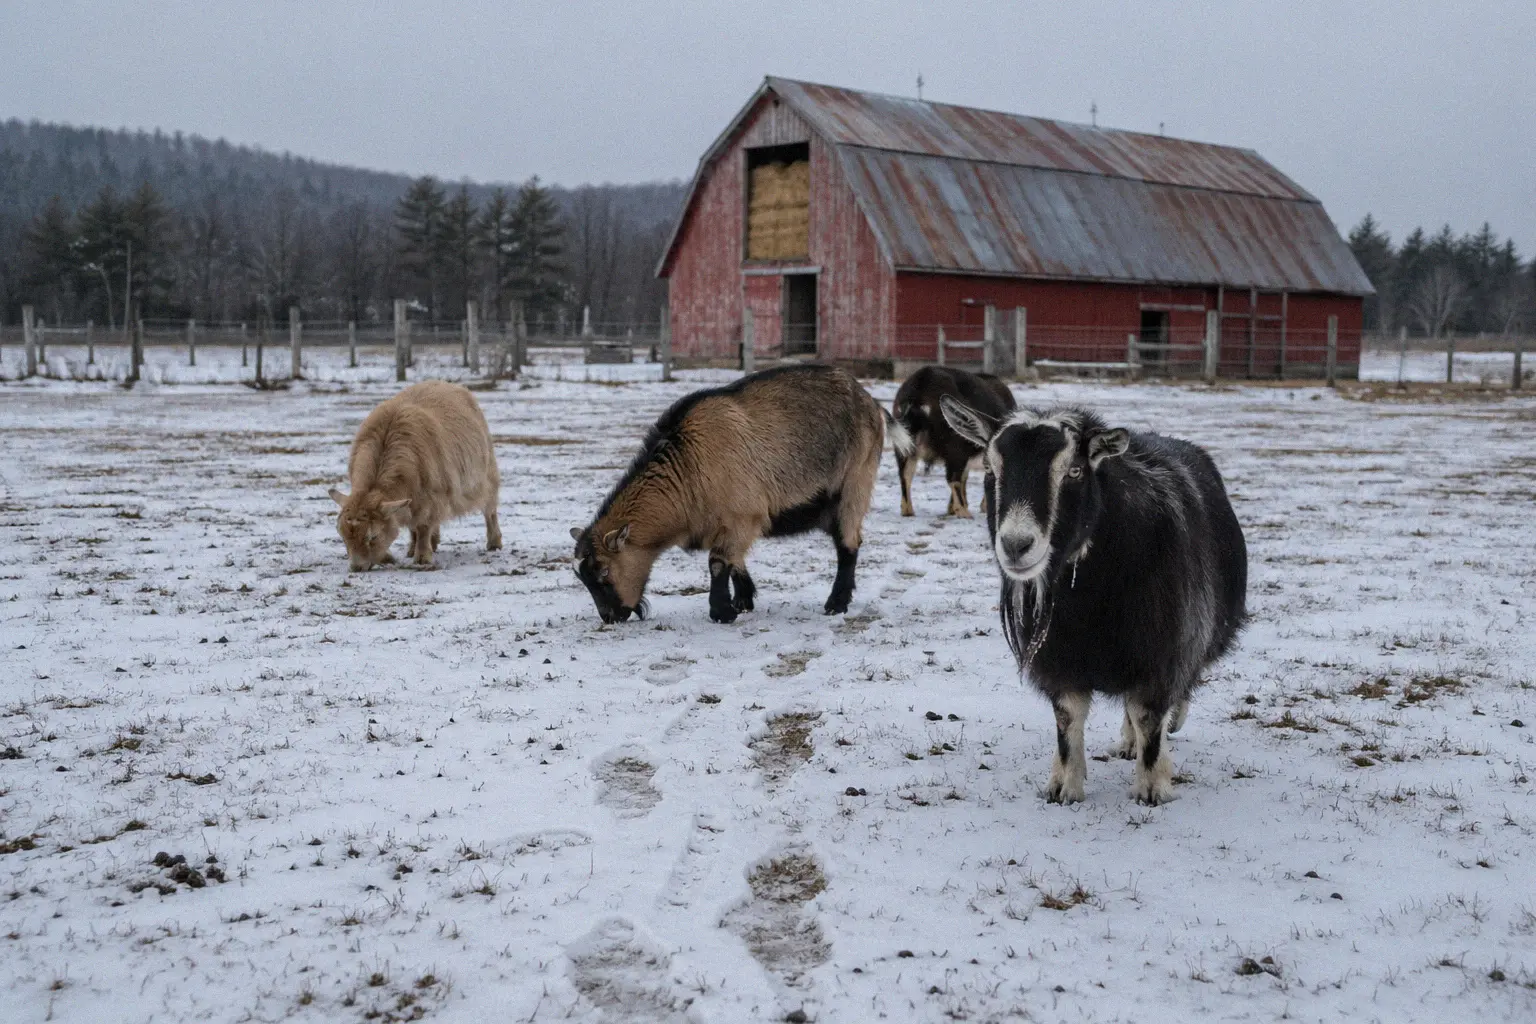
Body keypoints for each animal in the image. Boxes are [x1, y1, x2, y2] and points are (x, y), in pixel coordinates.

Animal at [328, 380, 501, 571]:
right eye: (343, 537)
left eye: (372, 537)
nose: (356, 567)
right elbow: (413, 524)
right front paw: (401, 553)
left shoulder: (432, 498)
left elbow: (423, 527)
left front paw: (422, 558)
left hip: (487, 473)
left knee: (490, 507)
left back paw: (494, 542)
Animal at [571, 364, 885, 624]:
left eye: (604, 573)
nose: (610, 617)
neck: (688, 464)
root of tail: (869, 400)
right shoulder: (727, 525)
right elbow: (735, 562)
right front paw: (742, 601)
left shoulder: (744, 515)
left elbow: (718, 563)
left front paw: (722, 612)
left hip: (855, 482)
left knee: (848, 544)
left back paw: (836, 603)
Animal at [889, 366, 1016, 517]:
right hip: (954, 449)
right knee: (952, 479)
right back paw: (964, 512)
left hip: (905, 444)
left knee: (905, 474)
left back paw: (908, 510)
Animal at [940, 399, 1246, 805]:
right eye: (990, 469)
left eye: (1074, 470)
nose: (1017, 545)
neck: (1089, 600)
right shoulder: (1060, 657)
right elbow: (1068, 718)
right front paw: (1063, 788)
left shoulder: (1162, 650)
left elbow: (1149, 715)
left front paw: (1151, 788)